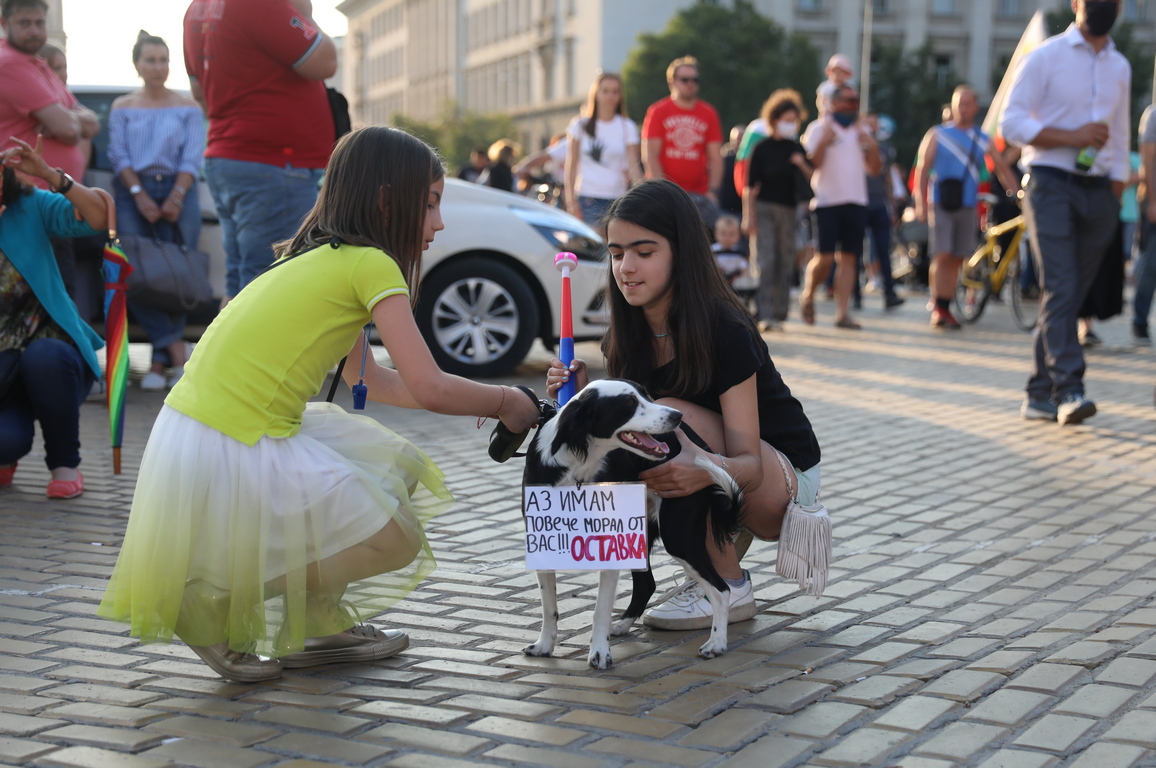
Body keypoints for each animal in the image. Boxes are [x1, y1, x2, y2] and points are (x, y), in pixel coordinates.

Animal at [520, 377, 744, 666]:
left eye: (647, 395)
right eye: (628, 402)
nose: (677, 416)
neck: (575, 469)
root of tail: (701, 444)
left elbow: (600, 609)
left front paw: (599, 654)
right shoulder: (543, 541)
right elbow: (549, 607)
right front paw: (544, 646)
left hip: (678, 537)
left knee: (721, 589)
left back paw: (716, 643)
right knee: (647, 585)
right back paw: (623, 625)